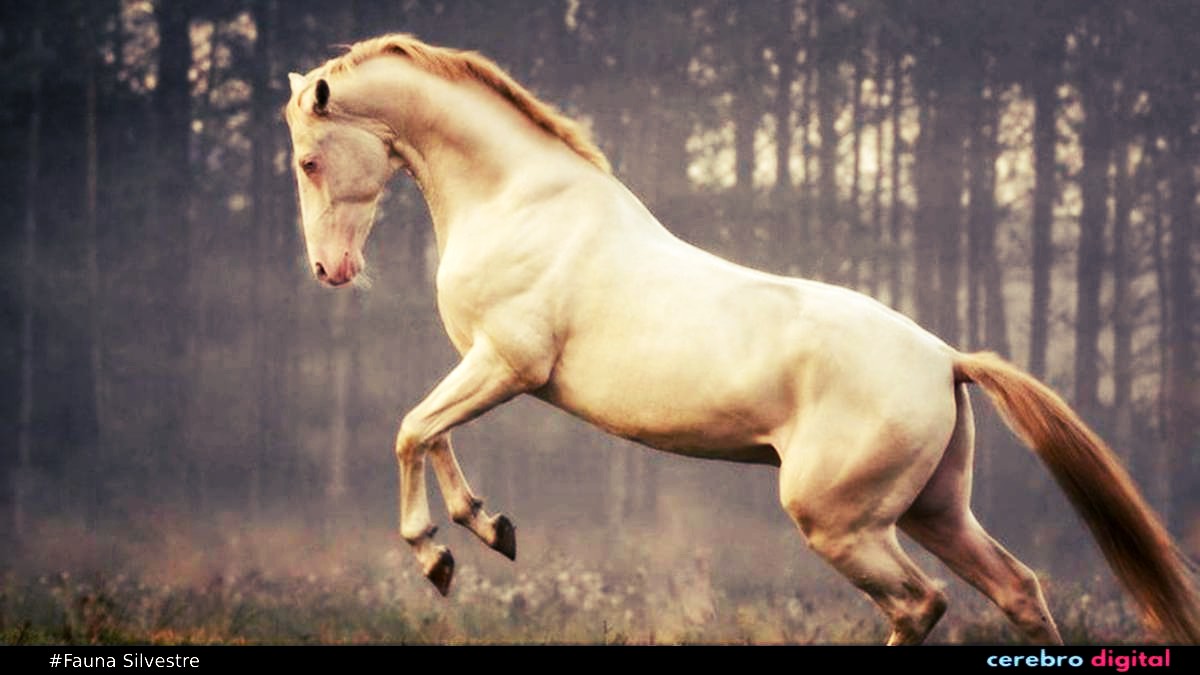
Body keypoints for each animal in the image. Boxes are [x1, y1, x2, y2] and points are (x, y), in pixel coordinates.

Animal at [283, 33, 1200, 645]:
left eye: (307, 161)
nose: (330, 269)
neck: (521, 200)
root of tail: (946, 360)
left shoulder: (506, 363)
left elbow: (411, 429)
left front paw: (435, 557)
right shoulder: (481, 362)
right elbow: (434, 434)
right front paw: (487, 527)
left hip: (840, 521)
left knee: (920, 602)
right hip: (936, 509)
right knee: (1016, 590)